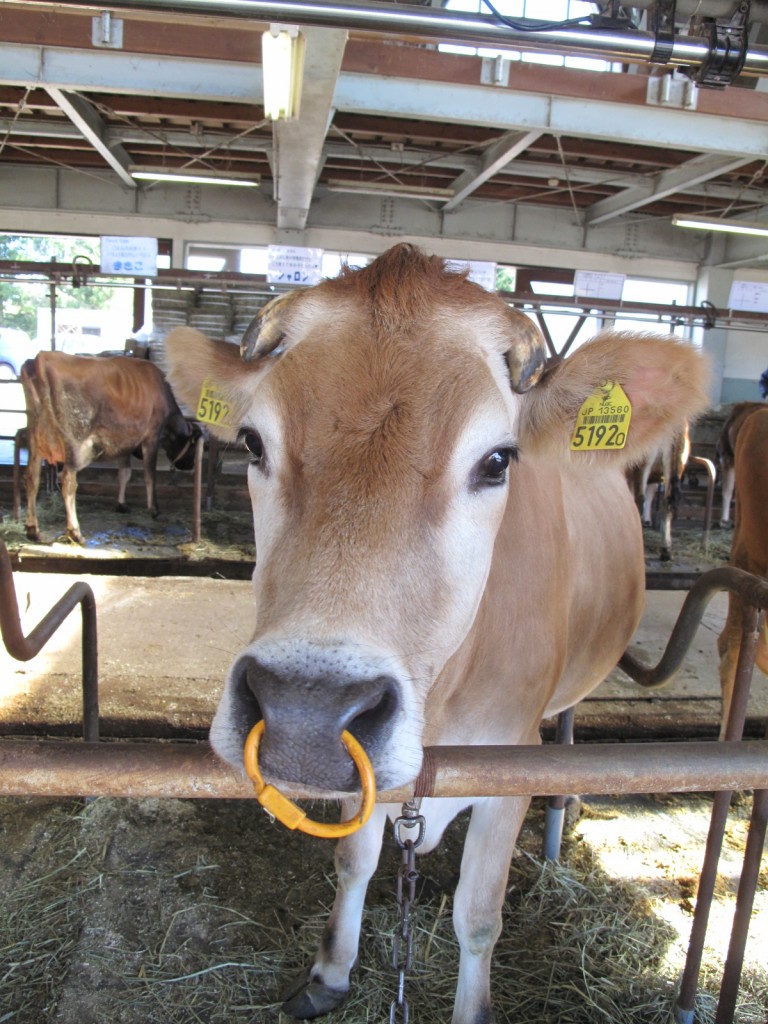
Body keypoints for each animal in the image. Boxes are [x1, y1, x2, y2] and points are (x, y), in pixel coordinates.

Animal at [22, 350, 199, 544]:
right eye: (192, 446)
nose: (189, 465)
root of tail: (42, 358)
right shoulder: (151, 437)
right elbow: (150, 476)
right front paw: (154, 509)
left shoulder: (123, 443)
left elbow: (125, 474)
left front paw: (121, 504)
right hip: (75, 444)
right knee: (68, 481)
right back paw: (75, 532)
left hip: (35, 441)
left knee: (32, 479)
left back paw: (33, 530)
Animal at [162, 245, 708, 1024]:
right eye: (253, 442)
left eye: (498, 460)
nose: (304, 714)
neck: (442, 707)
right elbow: (353, 862)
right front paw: (331, 970)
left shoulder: (512, 762)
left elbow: (478, 916)